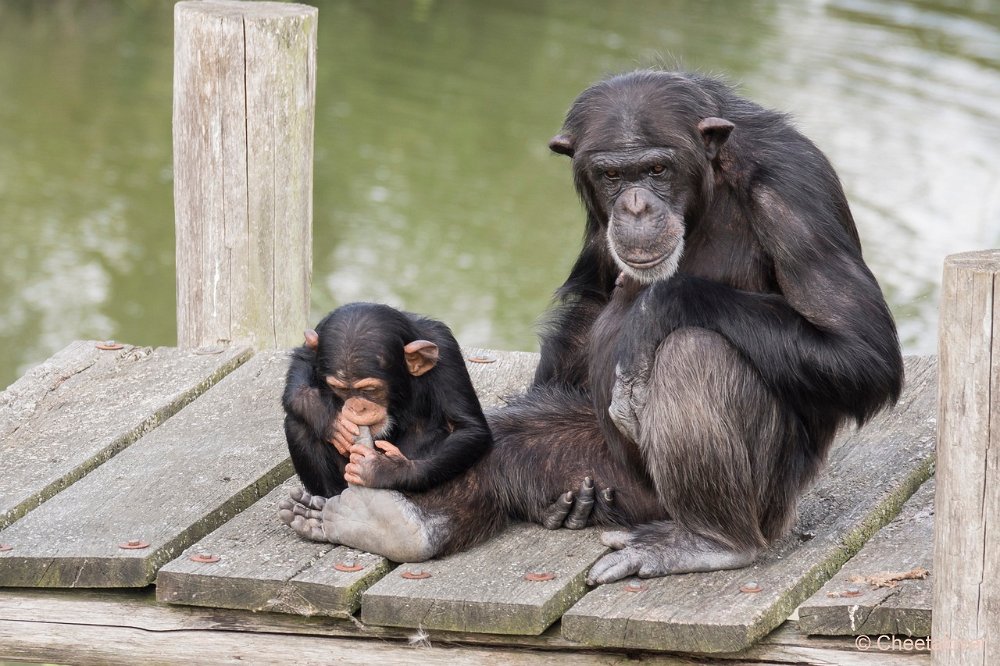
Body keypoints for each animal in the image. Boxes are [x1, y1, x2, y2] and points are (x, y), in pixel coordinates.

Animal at [278, 70, 904, 584]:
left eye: (657, 169)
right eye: (610, 175)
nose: (634, 206)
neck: (709, 186)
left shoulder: (794, 187)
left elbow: (859, 351)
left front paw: (652, 313)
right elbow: (592, 297)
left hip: (765, 501)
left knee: (695, 351)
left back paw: (711, 541)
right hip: (608, 467)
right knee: (508, 443)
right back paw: (393, 522)